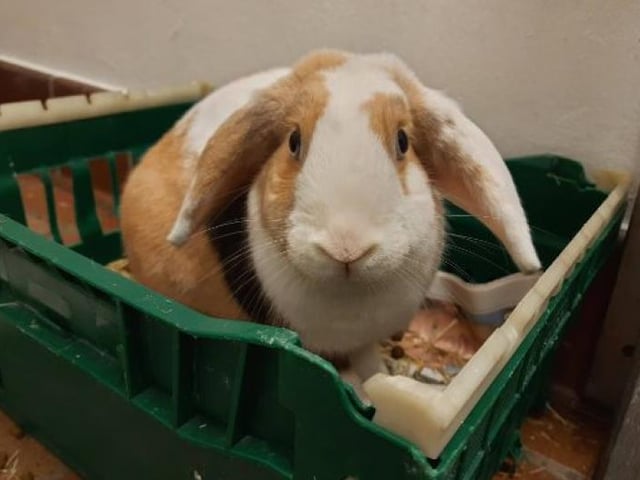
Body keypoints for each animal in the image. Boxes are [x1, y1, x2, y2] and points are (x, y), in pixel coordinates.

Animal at [119, 49, 541, 397]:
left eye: (403, 141)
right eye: (293, 140)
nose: (346, 247)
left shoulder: (363, 339)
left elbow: (368, 359)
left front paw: (378, 376)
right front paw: (358, 388)